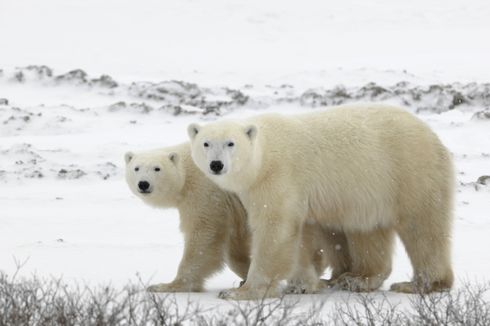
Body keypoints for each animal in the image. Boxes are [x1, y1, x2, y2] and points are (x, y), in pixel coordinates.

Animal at [124, 145, 350, 292]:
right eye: (136, 168)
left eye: (157, 168)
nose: (143, 184)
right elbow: (235, 244)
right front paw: (245, 276)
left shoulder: (207, 193)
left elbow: (204, 235)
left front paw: (166, 285)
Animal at [189, 103, 456, 300]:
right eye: (205, 143)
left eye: (230, 143)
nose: (216, 164)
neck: (263, 158)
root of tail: (432, 134)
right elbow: (300, 237)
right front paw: (303, 284)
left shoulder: (278, 179)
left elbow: (275, 230)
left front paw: (240, 291)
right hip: (370, 194)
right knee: (367, 232)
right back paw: (355, 279)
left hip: (410, 172)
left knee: (423, 227)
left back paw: (420, 284)